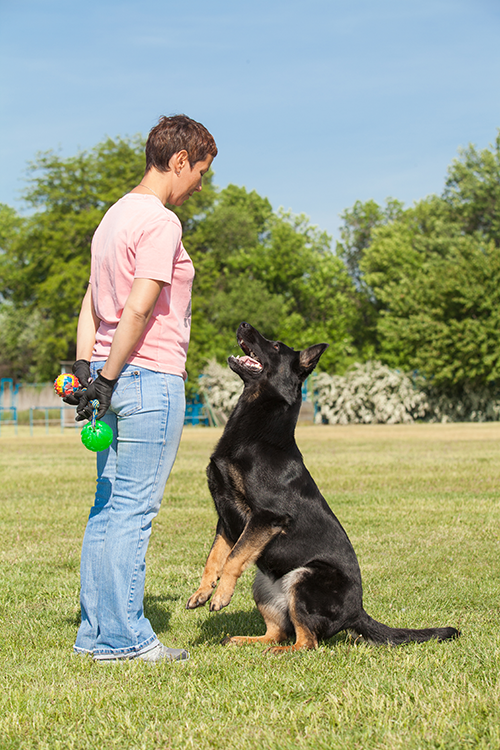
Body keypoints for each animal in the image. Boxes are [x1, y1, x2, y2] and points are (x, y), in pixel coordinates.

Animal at [186, 324, 458, 652]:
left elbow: (233, 558)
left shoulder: (266, 517)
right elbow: (215, 558)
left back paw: (279, 652)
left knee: (307, 642)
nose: (244, 325)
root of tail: (357, 611)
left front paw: (221, 594)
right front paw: (203, 591)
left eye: (275, 346)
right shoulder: (227, 520)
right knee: (279, 631)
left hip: (305, 578)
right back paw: (245, 640)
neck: (258, 434)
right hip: (264, 583)